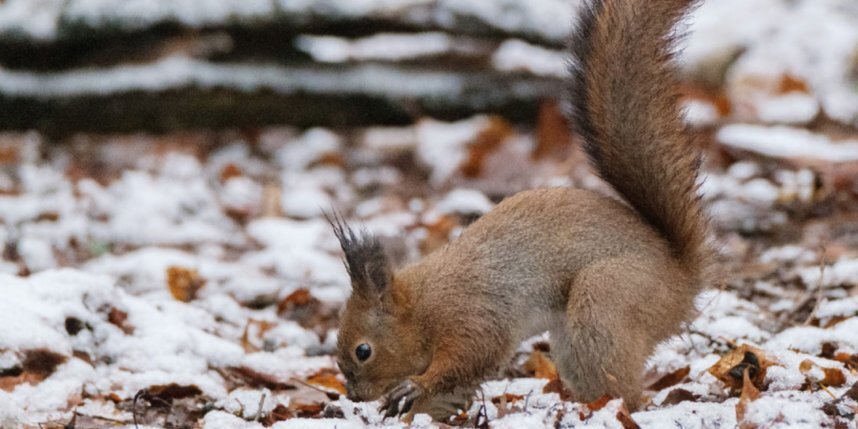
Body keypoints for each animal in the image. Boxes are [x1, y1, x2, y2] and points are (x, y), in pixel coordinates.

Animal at [328, 0, 708, 418]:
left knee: (626, 388)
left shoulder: (470, 318)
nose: (353, 394)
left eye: (363, 351)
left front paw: (414, 387)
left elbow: (468, 358)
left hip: (607, 297)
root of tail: (682, 275)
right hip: (572, 341)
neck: (423, 306)